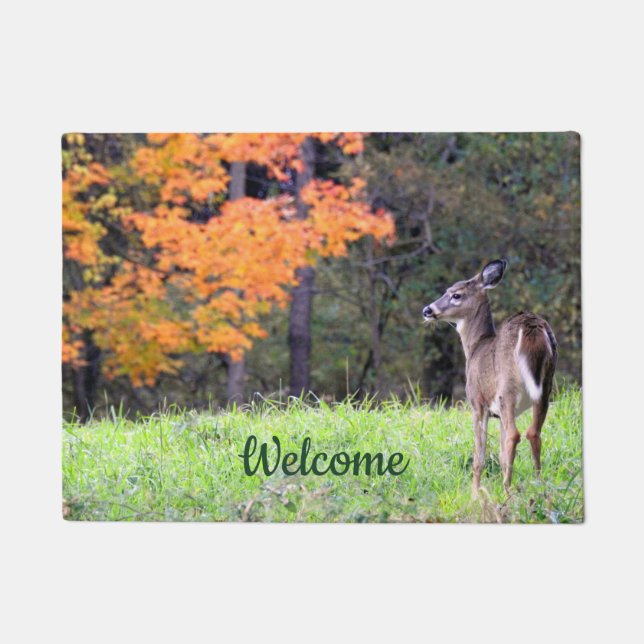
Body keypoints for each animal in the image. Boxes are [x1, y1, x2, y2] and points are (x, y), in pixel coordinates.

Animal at [422, 259, 558, 495]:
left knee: (515, 434)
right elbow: (502, 455)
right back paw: (538, 485)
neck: (475, 347)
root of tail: (532, 327)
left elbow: (479, 454)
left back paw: (507, 491)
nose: (427, 310)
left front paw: (475, 492)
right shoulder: (499, 414)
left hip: (507, 387)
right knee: (533, 432)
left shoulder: (477, 402)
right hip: (545, 386)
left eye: (455, 294)